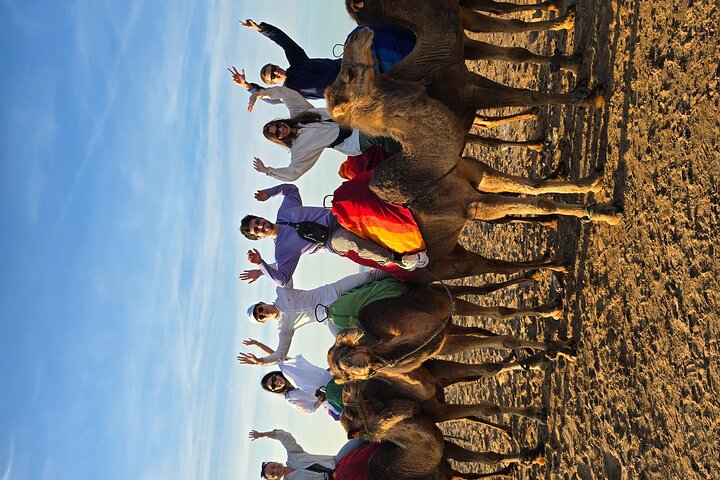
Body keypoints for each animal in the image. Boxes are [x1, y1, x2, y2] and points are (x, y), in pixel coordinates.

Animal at [325, 28, 620, 283]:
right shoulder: (472, 205)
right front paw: (604, 213)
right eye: (350, 74)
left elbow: (533, 185)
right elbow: (538, 203)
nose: (356, 34)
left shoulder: (476, 173)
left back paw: (553, 266)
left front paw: (592, 183)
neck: (428, 173)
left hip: (452, 253)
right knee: (492, 270)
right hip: (444, 268)